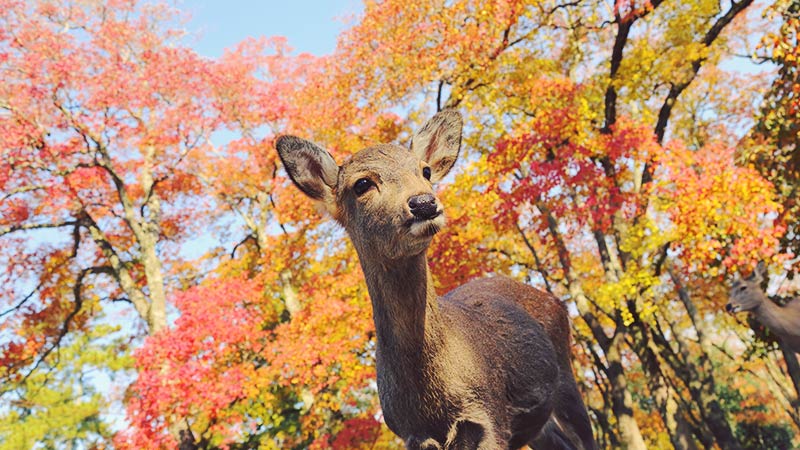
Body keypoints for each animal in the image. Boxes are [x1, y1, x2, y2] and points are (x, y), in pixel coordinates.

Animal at [276, 110, 592, 450]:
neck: (432, 400)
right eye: (362, 183)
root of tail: (556, 301)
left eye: (425, 170)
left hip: (566, 374)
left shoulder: (489, 414)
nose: (424, 203)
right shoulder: (412, 434)